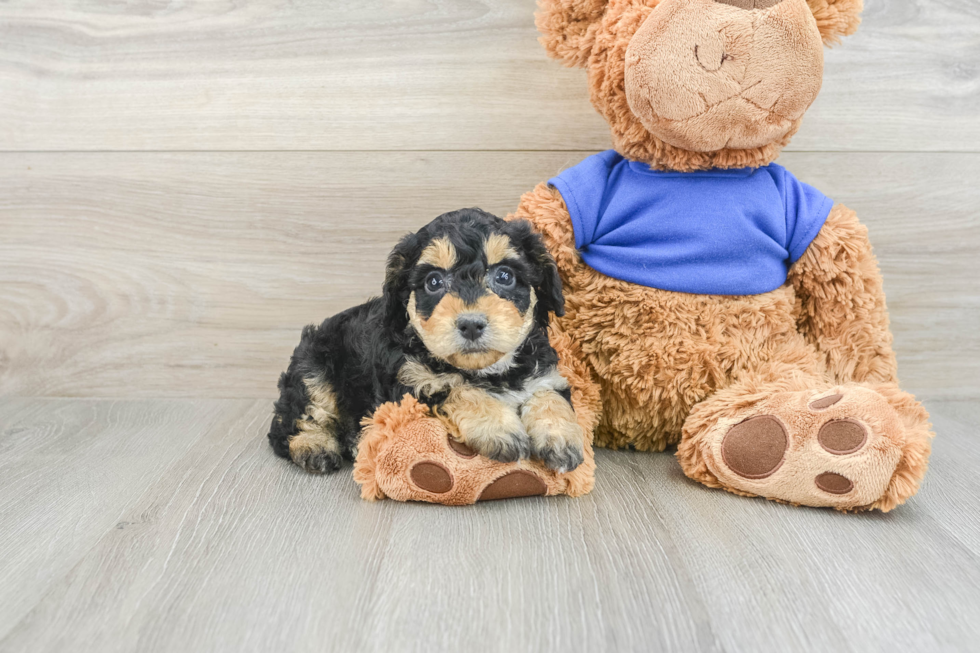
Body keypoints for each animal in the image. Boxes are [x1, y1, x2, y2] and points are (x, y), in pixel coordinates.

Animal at [268, 209, 584, 474]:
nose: (471, 324)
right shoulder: (412, 385)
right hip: (312, 367)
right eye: (433, 281)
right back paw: (315, 447)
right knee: (292, 422)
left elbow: (550, 395)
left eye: (504, 276)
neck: (486, 371)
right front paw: (499, 428)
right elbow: (457, 388)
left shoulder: (544, 373)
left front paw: (561, 438)